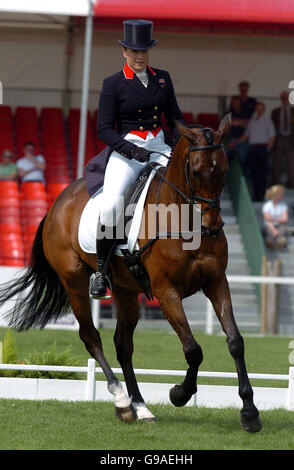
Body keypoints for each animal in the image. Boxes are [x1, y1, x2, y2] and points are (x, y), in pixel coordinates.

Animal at [0, 114, 262, 434]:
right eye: (196, 171)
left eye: (224, 170)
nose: (211, 226)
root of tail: (57, 203)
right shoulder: (166, 292)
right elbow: (193, 349)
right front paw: (179, 393)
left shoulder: (216, 282)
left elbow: (235, 342)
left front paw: (249, 412)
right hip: (74, 281)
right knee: (91, 336)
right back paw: (123, 401)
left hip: (126, 290)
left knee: (123, 345)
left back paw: (140, 406)